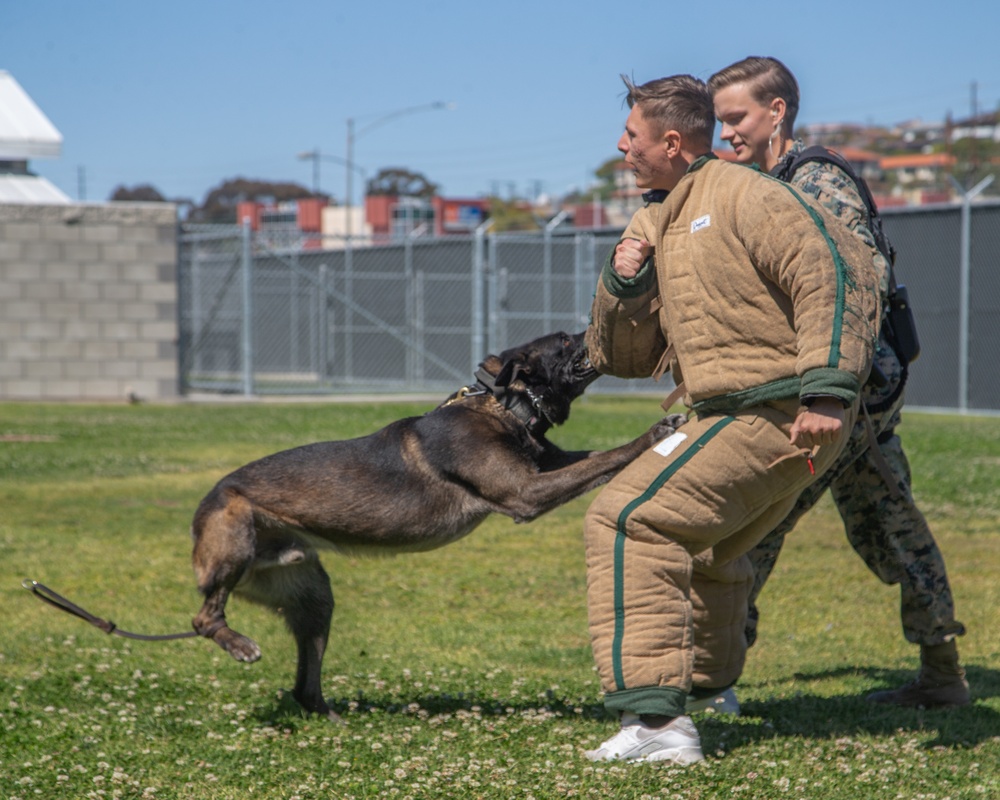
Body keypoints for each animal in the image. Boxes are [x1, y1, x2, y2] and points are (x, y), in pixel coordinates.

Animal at [191, 330, 684, 720]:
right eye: (564, 340)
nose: (593, 325)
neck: (504, 405)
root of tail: (210, 496)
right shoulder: (525, 492)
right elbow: (606, 456)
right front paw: (655, 432)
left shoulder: (546, 468)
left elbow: (597, 459)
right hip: (234, 541)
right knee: (203, 618)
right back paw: (239, 644)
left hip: (313, 599)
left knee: (303, 683)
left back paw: (332, 717)